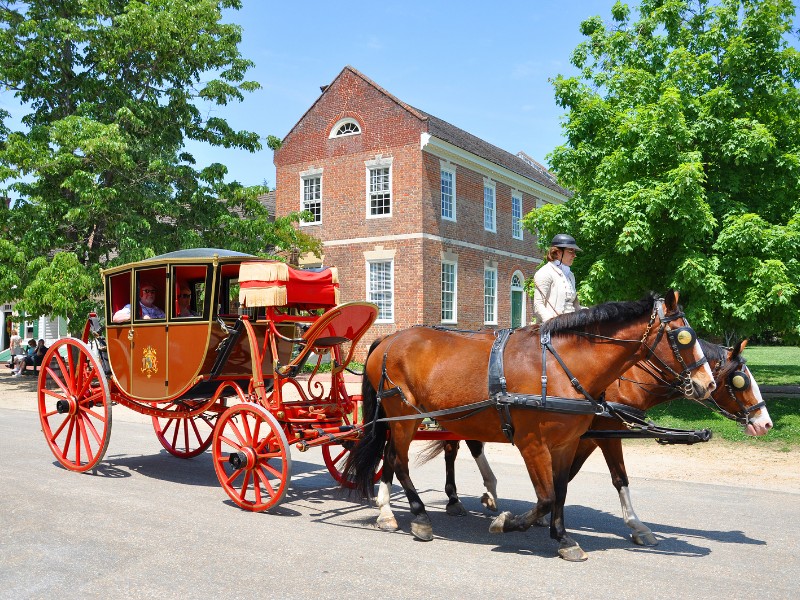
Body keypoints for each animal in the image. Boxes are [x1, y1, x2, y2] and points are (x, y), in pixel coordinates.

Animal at [342, 292, 712, 560]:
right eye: (682, 337)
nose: (706, 384)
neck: (560, 368)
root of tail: (389, 339)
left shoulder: (566, 443)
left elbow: (560, 492)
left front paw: (562, 538)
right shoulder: (532, 444)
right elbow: (546, 498)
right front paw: (508, 523)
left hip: (404, 419)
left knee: (392, 458)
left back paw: (389, 511)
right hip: (404, 416)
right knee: (398, 460)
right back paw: (417, 516)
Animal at [434, 340, 772, 548]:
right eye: (740, 380)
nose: (765, 423)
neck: (623, 380)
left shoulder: (584, 438)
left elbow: (568, 477)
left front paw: (544, 517)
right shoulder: (604, 433)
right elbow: (617, 477)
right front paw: (637, 526)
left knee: (462, 447)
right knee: (458, 449)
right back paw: (459, 498)